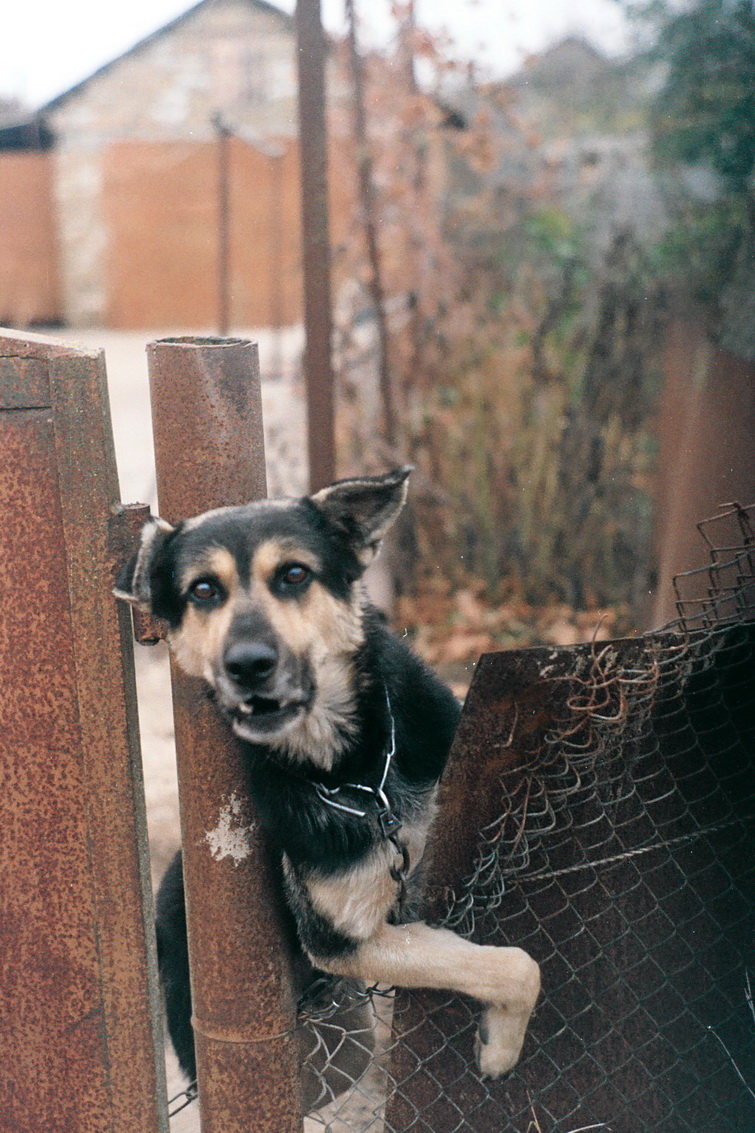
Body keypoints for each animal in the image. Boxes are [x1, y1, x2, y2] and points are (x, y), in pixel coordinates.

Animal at [114, 466, 537, 1087]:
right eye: (203, 591)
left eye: (294, 574)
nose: (248, 664)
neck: (357, 773)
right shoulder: (343, 938)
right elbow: (514, 965)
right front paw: (502, 1049)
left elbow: (511, 962)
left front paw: (501, 1045)